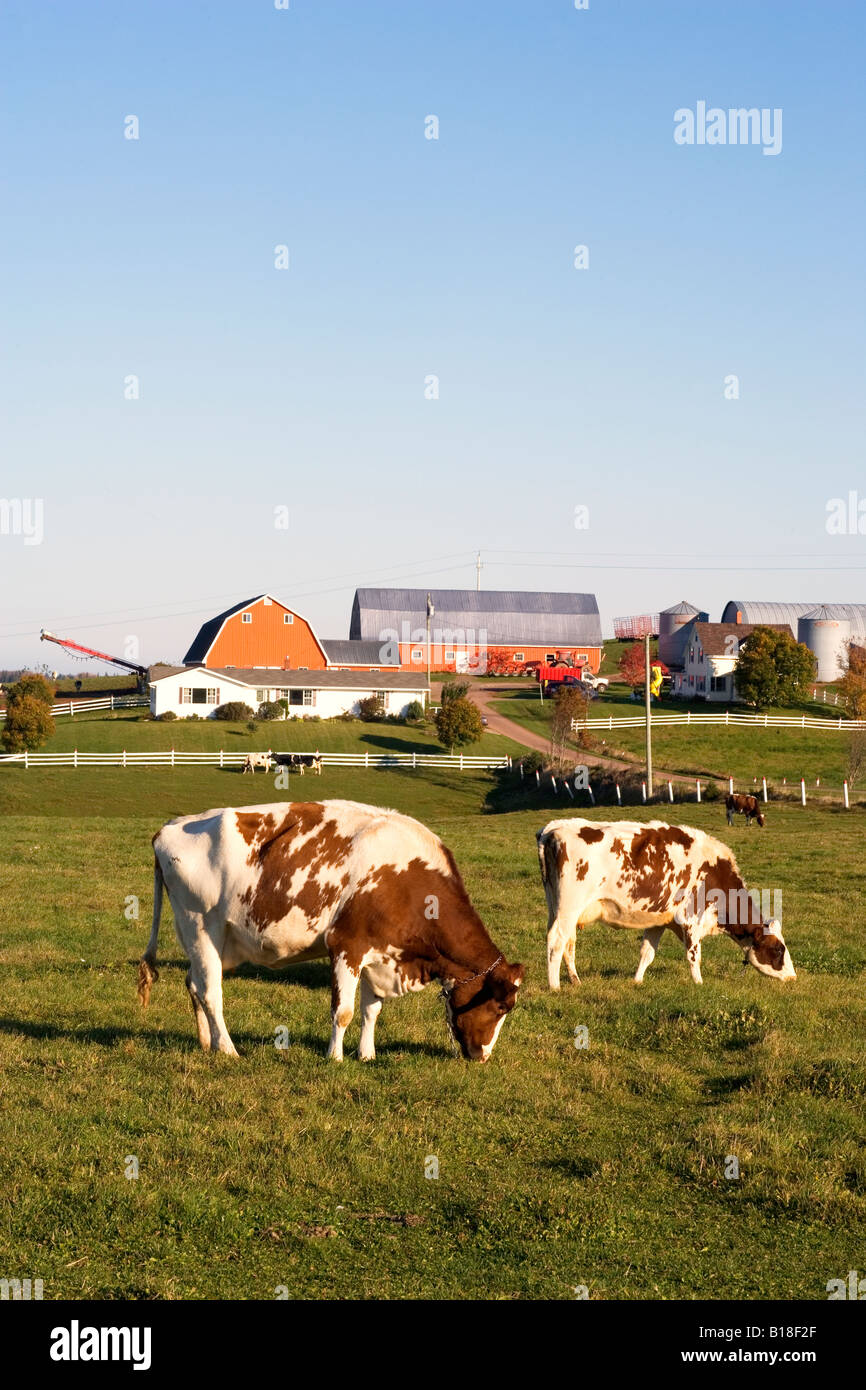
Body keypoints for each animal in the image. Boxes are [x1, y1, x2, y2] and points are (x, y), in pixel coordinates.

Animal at [138, 800, 524, 1062]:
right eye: (502, 1006)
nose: (483, 1056)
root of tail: (171, 826)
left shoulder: (380, 952)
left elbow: (372, 1009)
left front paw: (366, 1054)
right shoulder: (346, 947)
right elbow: (344, 1011)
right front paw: (335, 1057)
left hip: (206, 940)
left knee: (194, 984)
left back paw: (207, 1042)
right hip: (202, 926)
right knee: (210, 992)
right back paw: (228, 1048)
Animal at [536, 818, 794, 988]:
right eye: (778, 949)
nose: (793, 976)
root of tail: (553, 829)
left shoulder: (659, 920)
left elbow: (647, 953)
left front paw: (637, 981)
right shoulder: (691, 919)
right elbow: (694, 955)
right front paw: (699, 984)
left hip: (557, 907)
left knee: (568, 943)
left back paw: (575, 980)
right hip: (569, 907)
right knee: (556, 941)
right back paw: (554, 986)